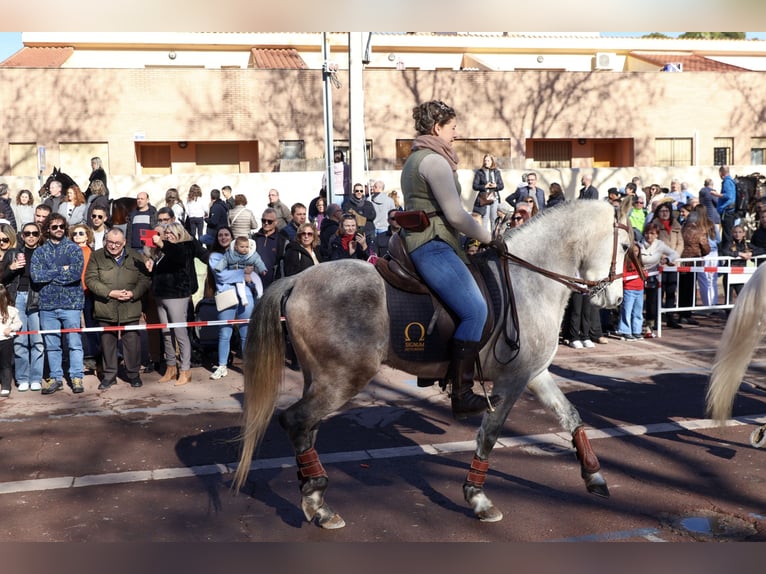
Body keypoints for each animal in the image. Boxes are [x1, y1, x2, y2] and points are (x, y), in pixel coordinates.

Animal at [234, 200, 632, 528]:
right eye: (627, 247)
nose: (614, 299)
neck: (528, 280)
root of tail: (297, 279)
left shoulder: (533, 373)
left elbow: (571, 415)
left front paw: (594, 475)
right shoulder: (511, 382)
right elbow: (489, 436)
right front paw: (478, 498)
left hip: (320, 378)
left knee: (307, 428)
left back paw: (315, 497)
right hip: (344, 378)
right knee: (296, 421)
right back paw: (317, 499)